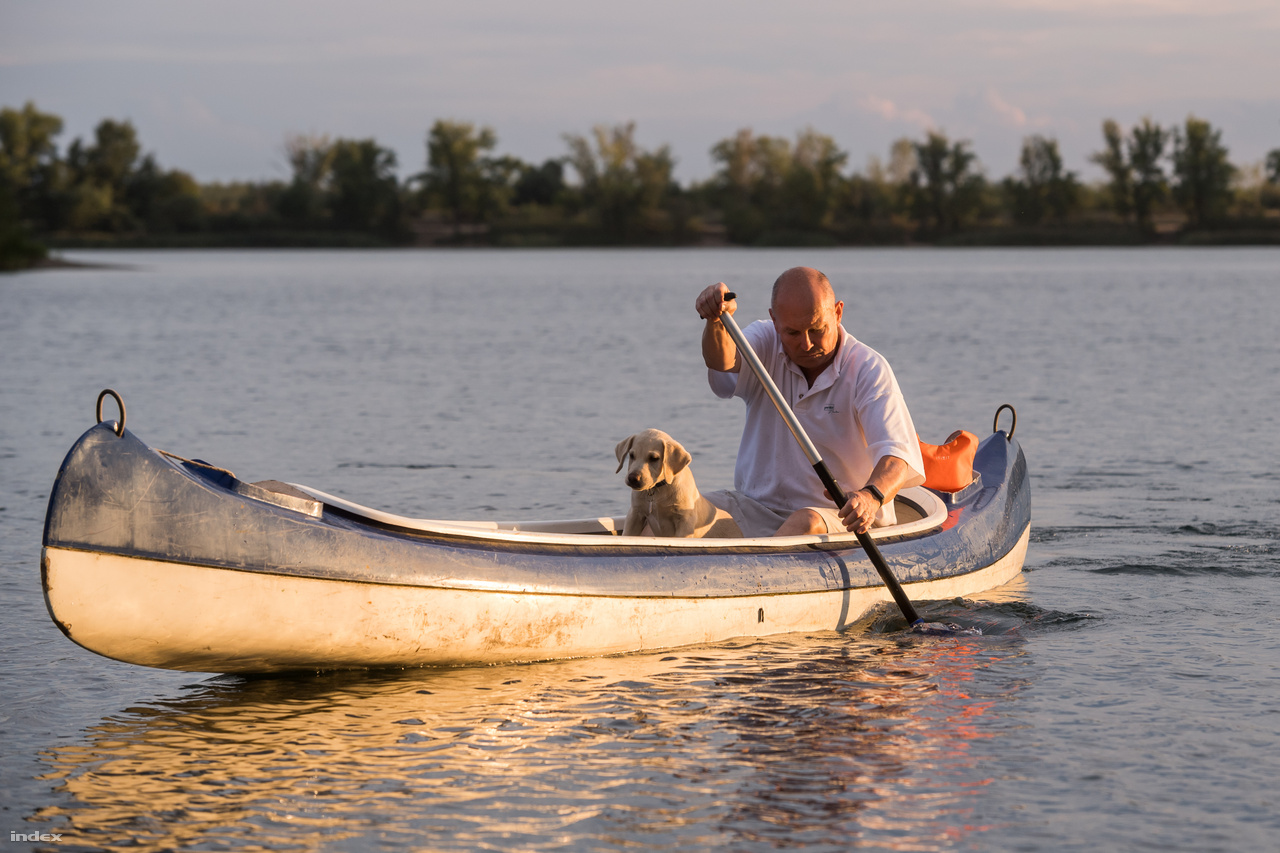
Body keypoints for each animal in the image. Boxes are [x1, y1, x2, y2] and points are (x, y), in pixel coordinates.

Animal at [616, 425, 747, 537]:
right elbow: (628, 534)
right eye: (631, 455)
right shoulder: (635, 514)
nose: (633, 478)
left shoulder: (685, 520)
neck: (657, 490)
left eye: (654, 458)